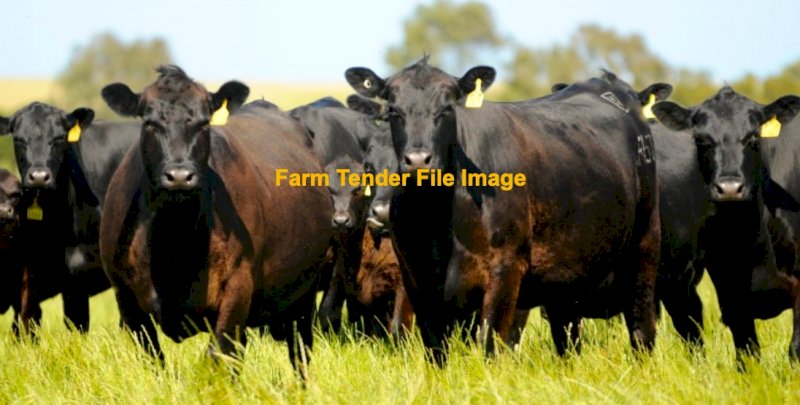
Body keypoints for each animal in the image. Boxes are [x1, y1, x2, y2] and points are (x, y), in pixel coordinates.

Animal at [99, 65, 332, 373]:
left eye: (203, 123)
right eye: (149, 122)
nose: (179, 176)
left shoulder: (237, 287)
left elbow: (218, 355)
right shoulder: (126, 299)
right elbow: (154, 360)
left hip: (303, 295)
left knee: (299, 352)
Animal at [345, 58, 660, 362]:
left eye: (447, 108)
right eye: (393, 110)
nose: (419, 159)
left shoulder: (505, 270)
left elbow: (491, 344)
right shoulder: (416, 279)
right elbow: (433, 350)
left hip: (643, 251)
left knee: (642, 331)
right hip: (565, 278)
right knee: (567, 340)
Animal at [652, 87, 800, 364]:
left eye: (753, 137)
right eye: (701, 140)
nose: (730, 188)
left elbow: (795, 349)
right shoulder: (730, 291)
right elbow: (747, 351)